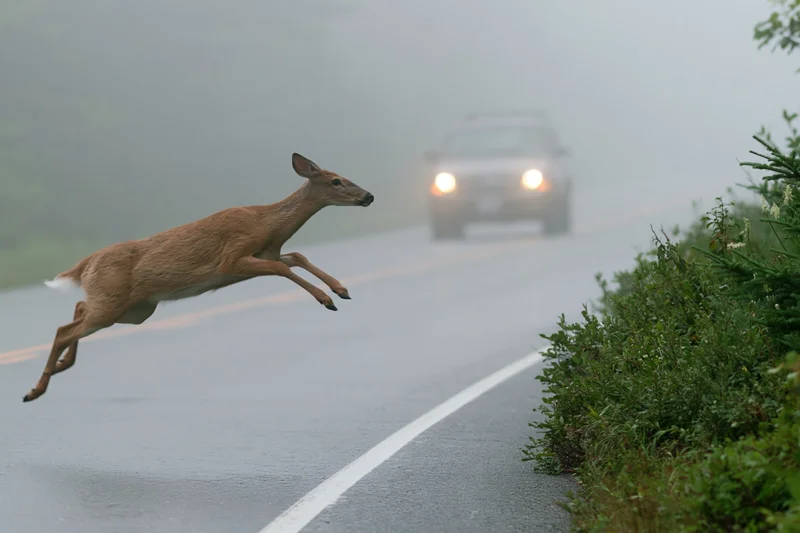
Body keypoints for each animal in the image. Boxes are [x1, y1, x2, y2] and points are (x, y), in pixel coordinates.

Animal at [21, 152, 374, 403]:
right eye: (336, 181)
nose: (368, 196)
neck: (266, 224)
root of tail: (86, 263)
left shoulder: (267, 253)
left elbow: (297, 257)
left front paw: (341, 289)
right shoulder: (232, 258)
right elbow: (284, 268)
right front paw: (327, 299)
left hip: (134, 309)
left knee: (78, 312)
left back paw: (60, 367)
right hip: (114, 303)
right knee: (64, 330)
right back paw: (34, 390)